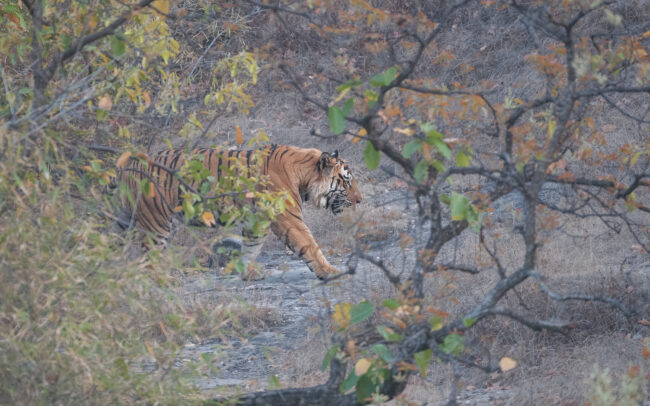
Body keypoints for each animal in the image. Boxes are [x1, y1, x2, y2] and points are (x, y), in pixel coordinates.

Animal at [117, 144, 362, 280]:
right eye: (347, 182)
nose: (360, 200)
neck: (304, 176)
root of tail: (129, 166)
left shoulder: (257, 220)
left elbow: (251, 247)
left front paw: (248, 273)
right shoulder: (288, 218)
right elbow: (309, 245)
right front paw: (329, 271)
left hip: (122, 221)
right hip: (155, 224)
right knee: (149, 258)